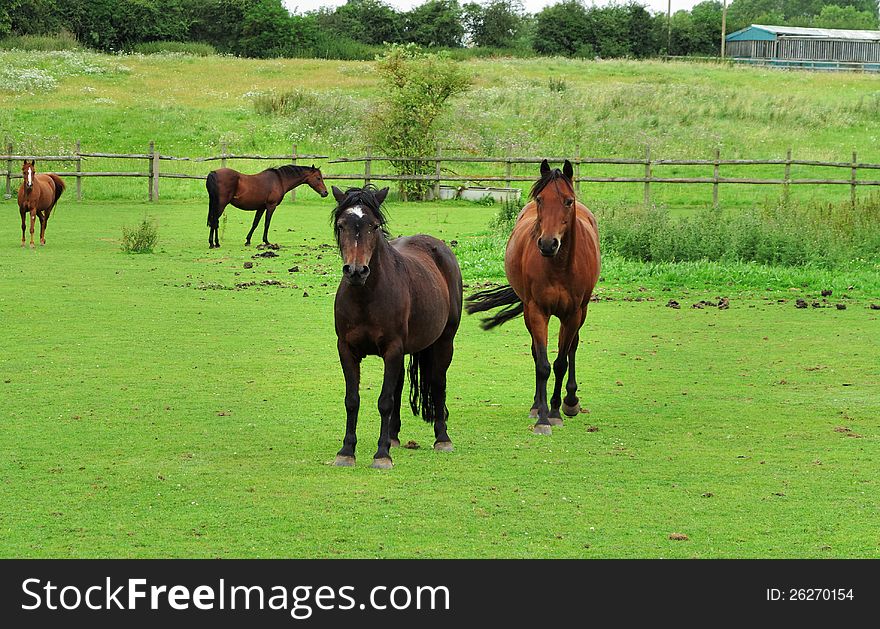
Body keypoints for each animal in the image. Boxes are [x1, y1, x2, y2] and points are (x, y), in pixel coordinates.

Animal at [330, 184, 464, 468]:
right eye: (341, 225)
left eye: (373, 225)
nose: (356, 271)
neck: (366, 297)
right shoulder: (346, 349)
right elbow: (352, 400)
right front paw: (346, 451)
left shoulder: (392, 349)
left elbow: (385, 401)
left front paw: (381, 455)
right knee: (400, 385)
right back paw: (393, 436)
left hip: (444, 342)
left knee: (438, 382)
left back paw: (442, 438)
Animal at [468, 159, 600, 434]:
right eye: (540, 199)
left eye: (568, 201)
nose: (548, 244)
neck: (559, 267)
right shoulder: (537, 311)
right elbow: (543, 364)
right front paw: (542, 416)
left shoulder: (572, 314)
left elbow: (560, 363)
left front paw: (556, 411)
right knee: (536, 353)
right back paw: (537, 405)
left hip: (580, 313)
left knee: (572, 348)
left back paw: (570, 402)